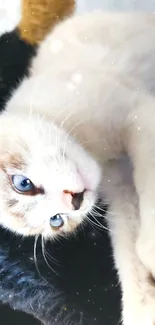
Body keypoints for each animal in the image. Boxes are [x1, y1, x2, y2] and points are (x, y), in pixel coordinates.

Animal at [2, 11, 155, 322]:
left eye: (22, 184)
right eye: (56, 221)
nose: (75, 201)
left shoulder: (140, 112)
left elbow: (151, 182)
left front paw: (153, 251)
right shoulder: (119, 189)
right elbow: (127, 249)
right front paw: (142, 310)